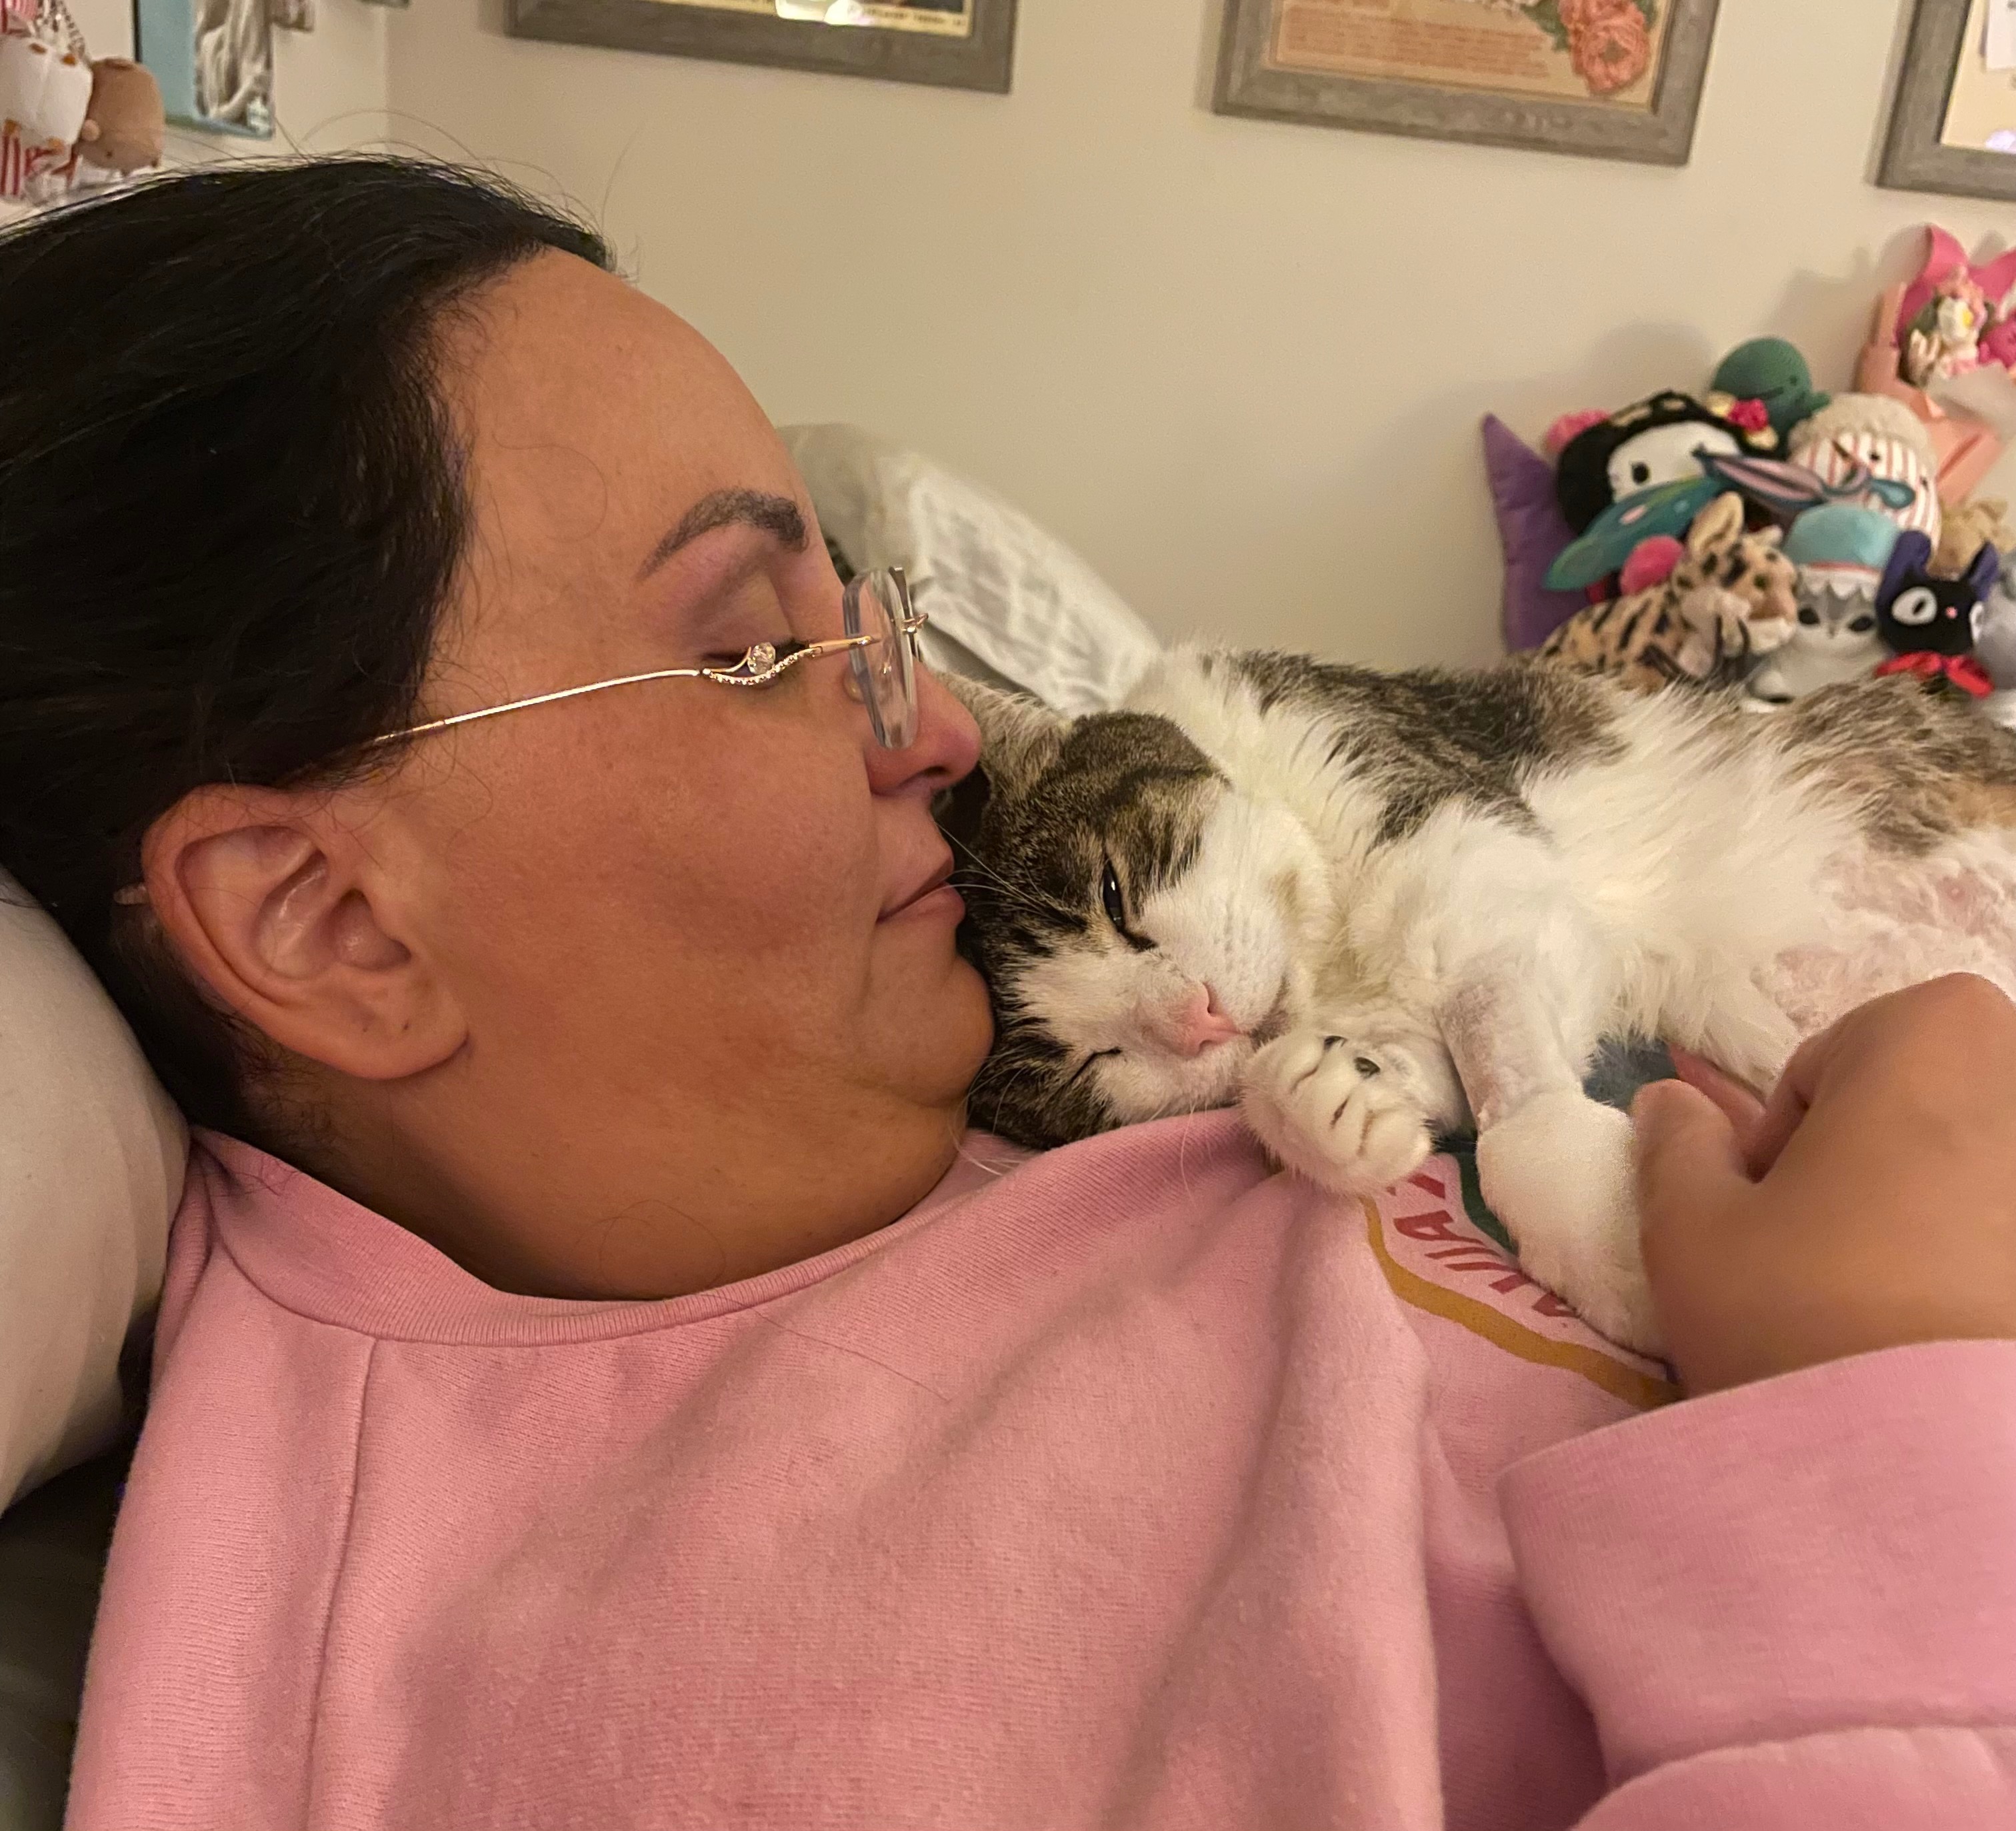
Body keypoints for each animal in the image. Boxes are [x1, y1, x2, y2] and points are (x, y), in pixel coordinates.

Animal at [939, 655, 2016, 1354]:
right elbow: (1430, 1078)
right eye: (1091, 1064)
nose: (1196, 1016)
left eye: (1114, 896)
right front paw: (1329, 1103)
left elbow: (1513, 1089)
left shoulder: (1463, 843)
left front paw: (1608, 1243)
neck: (1333, 957)